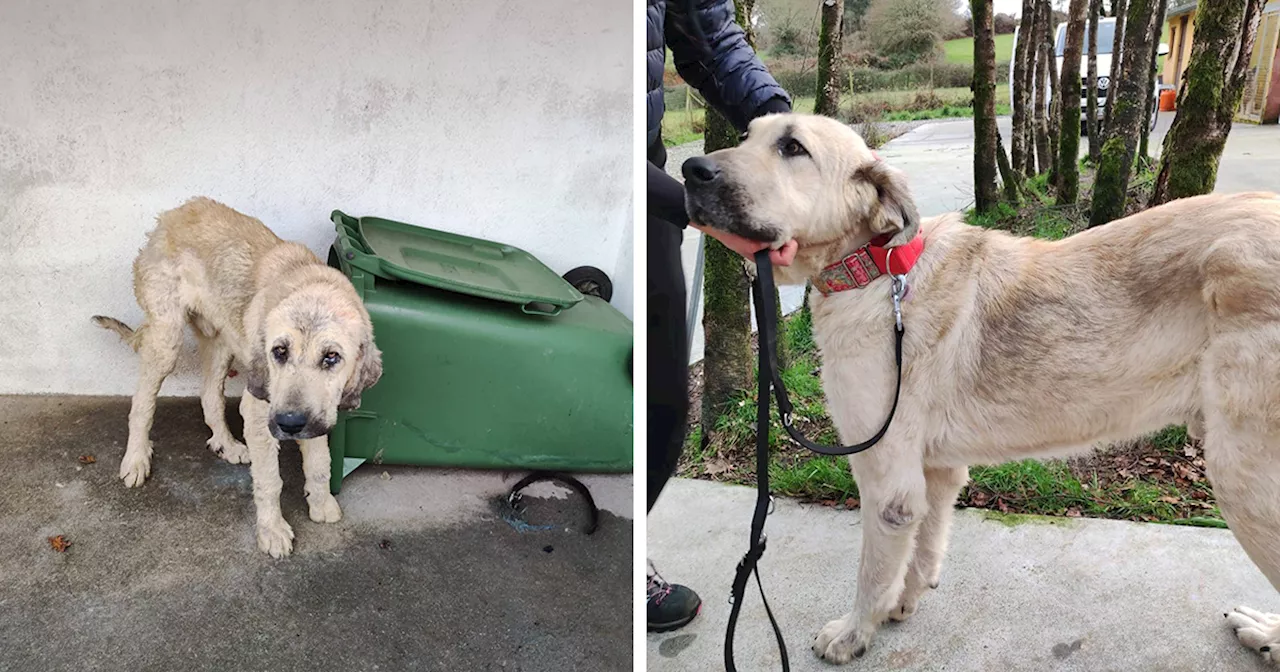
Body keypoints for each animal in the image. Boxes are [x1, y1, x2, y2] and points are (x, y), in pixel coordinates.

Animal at [93, 197, 378, 558]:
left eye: (331, 357)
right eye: (279, 351)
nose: (289, 423)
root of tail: (172, 214)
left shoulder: (318, 414)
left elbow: (319, 461)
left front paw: (321, 502)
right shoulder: (259, 411)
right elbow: (270, 480)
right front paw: (272, 530)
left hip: (220, 340)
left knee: (209, 396)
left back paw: (226, 444)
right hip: (167, 339)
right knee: (142, 403)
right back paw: (136, 458)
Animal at [686, 112, 1280, 660]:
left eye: (792, 148)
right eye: (747, 136)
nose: (691, 170)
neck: (875, 269)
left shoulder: (886, 484)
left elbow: (873, 573)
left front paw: (855, 633)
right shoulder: (936, 472)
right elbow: (923, 549)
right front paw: (905, 603)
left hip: (1244, 478)